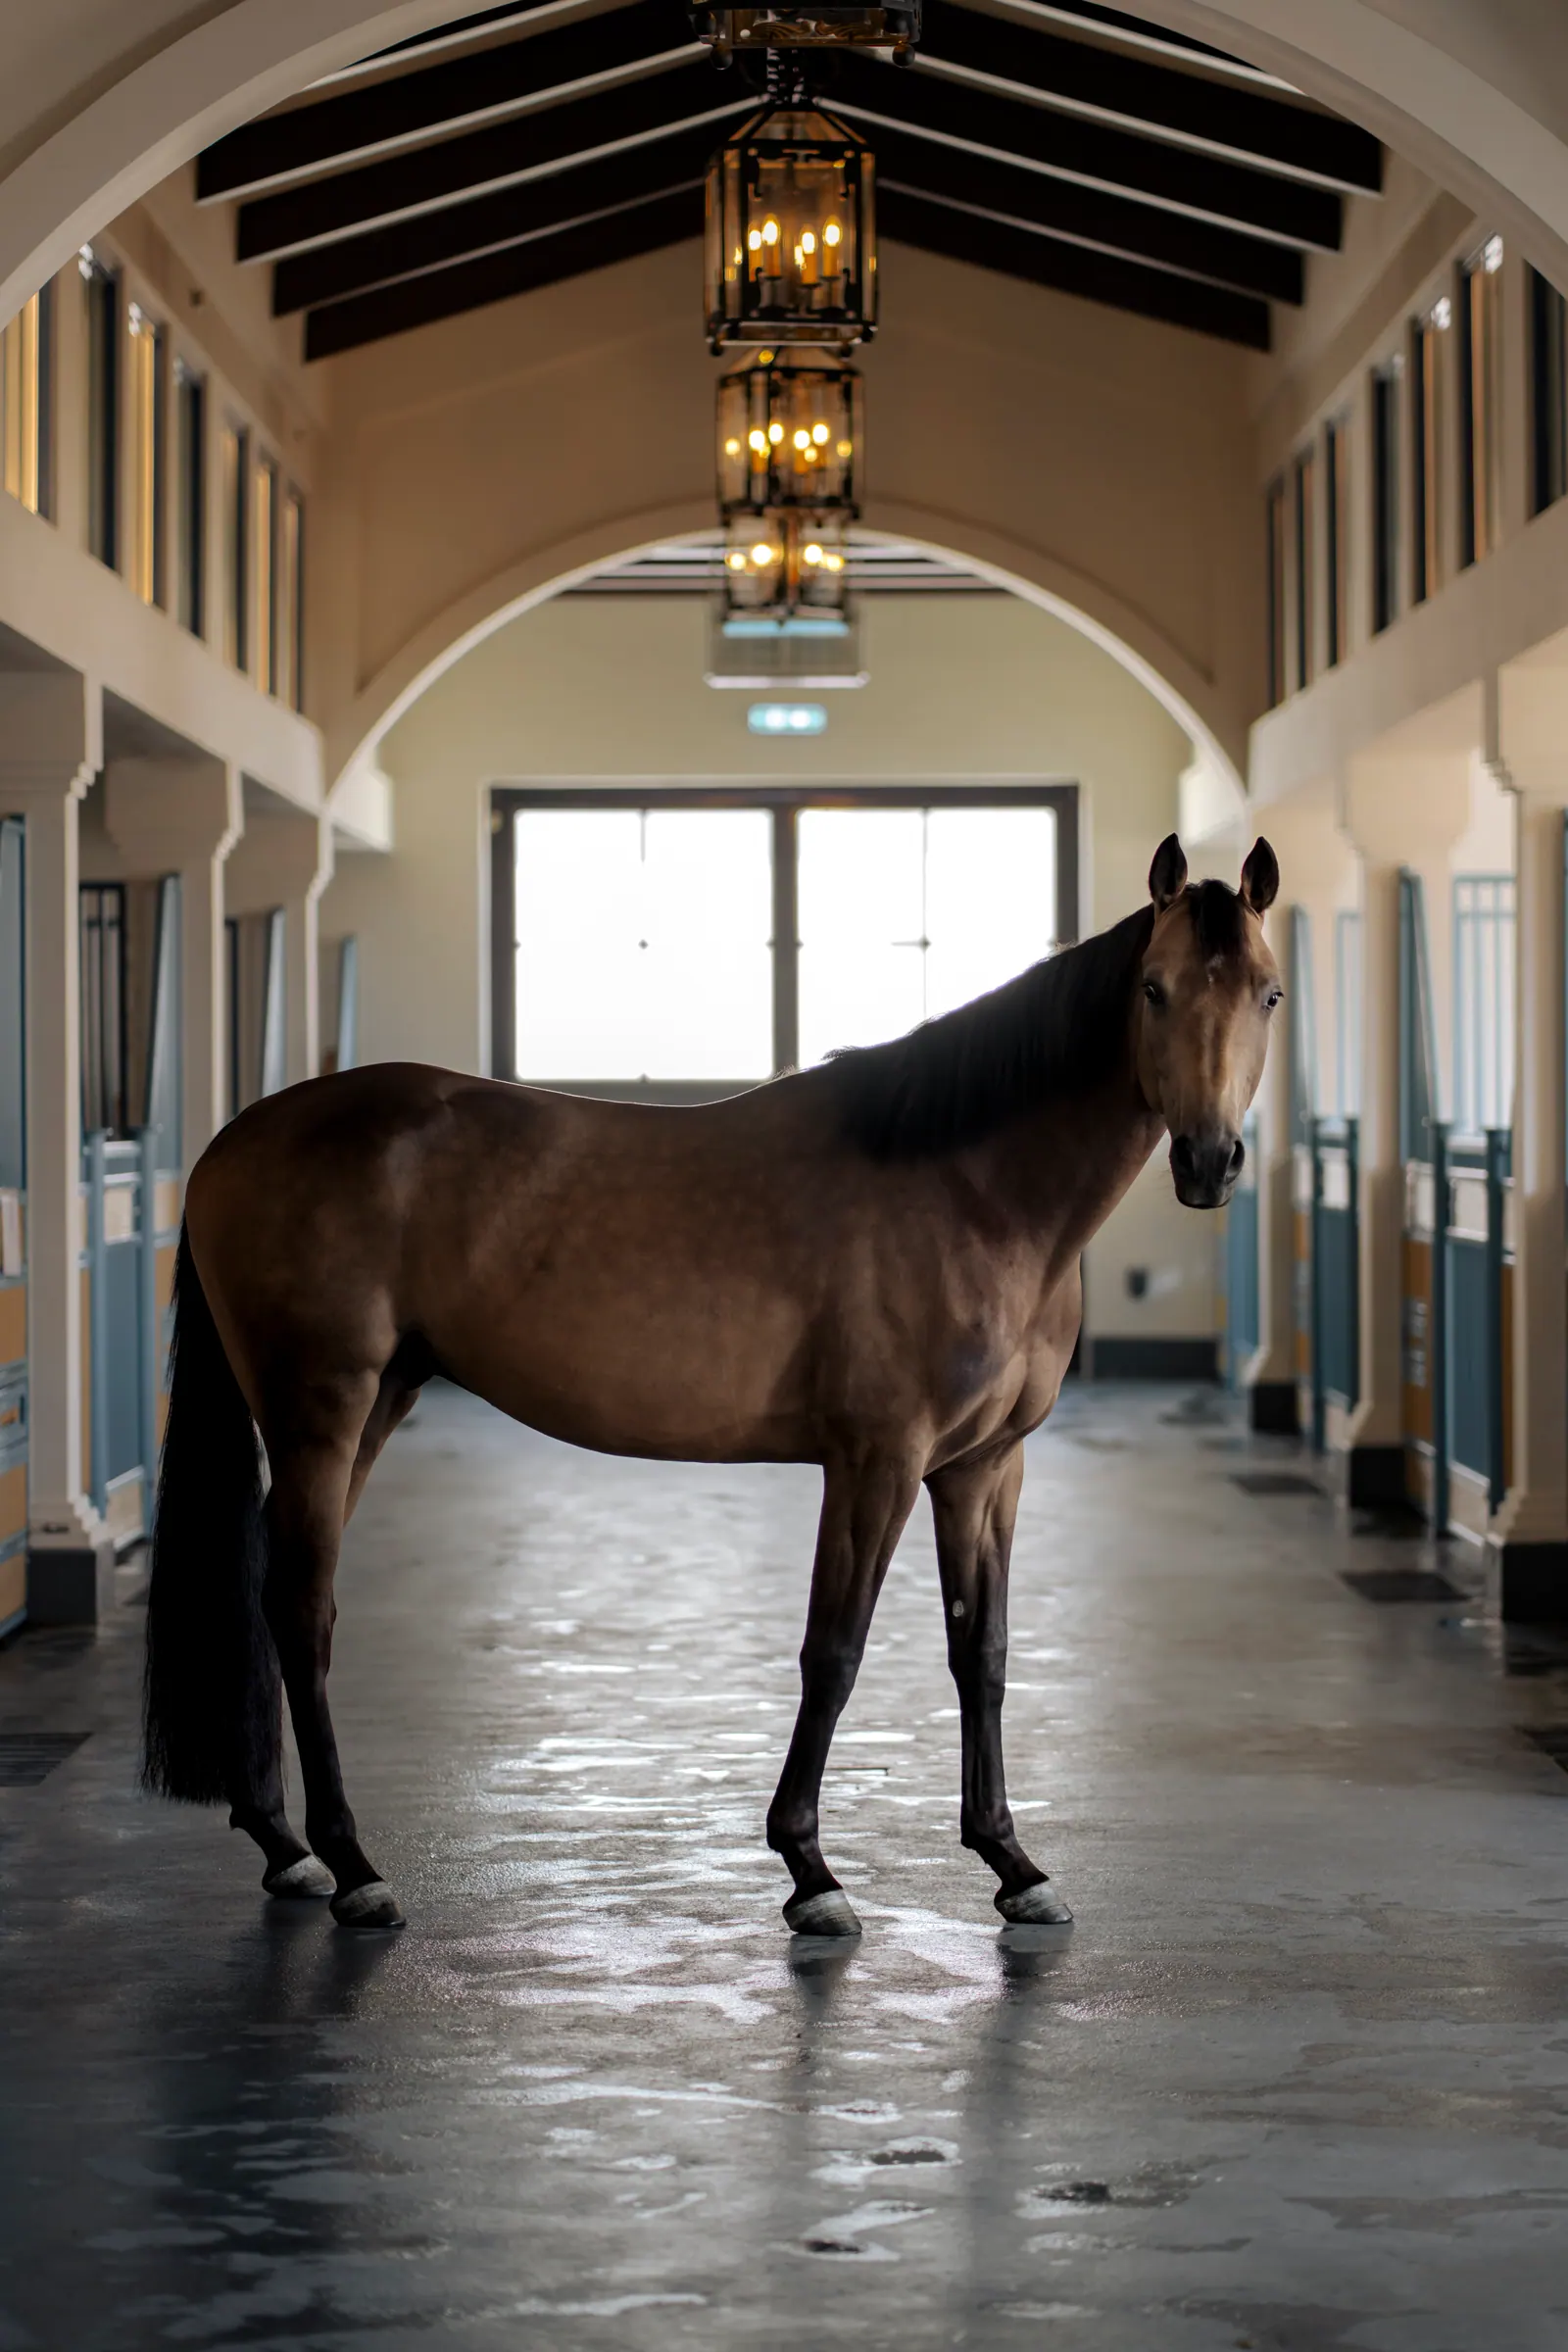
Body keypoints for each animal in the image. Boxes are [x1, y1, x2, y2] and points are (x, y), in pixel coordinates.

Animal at [142, 831, 1281, 1934]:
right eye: (1154, 989)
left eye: (1267, 993)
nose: (1209, 1161)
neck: (970, 1191)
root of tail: (228, 1144)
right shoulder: (875, 1462)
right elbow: (835, 1651)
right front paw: (810, 1871)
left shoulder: (983, 1470)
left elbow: (984, 1655)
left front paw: (1012, 1864)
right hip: (322, 1409)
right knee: (303, 1607)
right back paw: (352, 1867)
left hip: (377, 1403)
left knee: (273, 1596)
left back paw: (284, 1844)